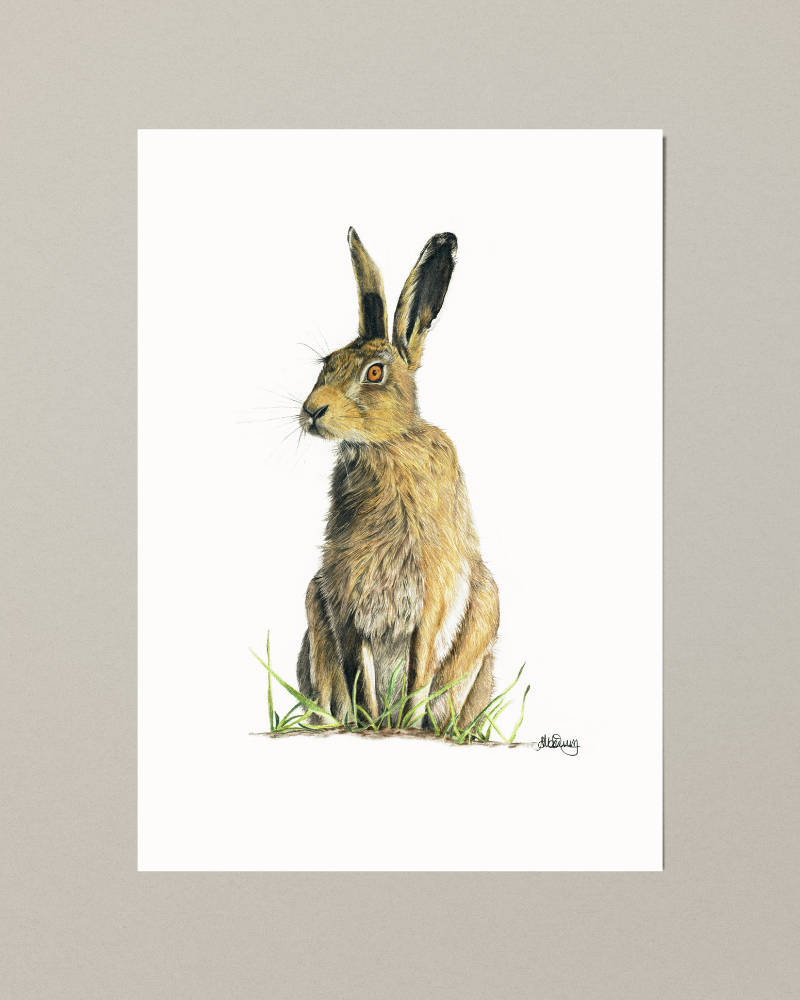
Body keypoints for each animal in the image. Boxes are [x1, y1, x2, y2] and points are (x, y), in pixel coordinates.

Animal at [295, 227, 499, 731]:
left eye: (374, 373)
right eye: (326, 363)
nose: (312, 411)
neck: (385, 446)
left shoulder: (431, 597)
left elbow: (419, 670)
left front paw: (402, 728)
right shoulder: (343, 597)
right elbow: (355, 672)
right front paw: (370, 726)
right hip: (313, 612)